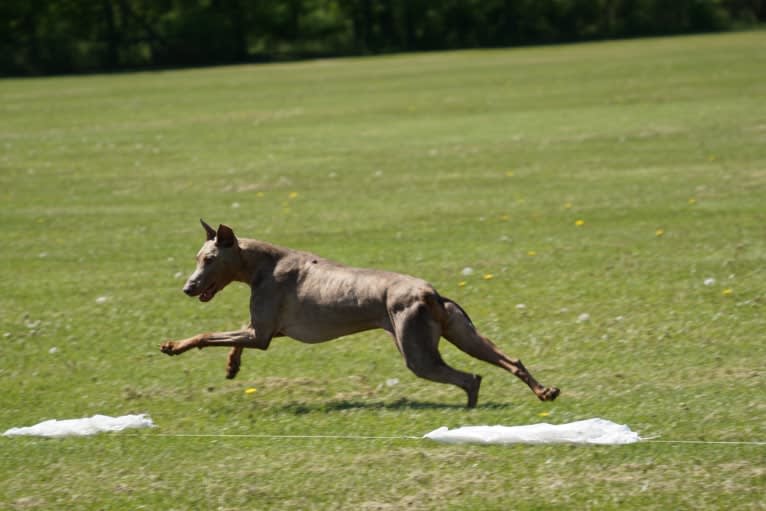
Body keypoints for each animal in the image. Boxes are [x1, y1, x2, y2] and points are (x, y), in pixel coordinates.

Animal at [162, 221, 560, 408]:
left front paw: (173, 346)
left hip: (417, 352)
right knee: (511, 360)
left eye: (209, 260)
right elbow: (235, 339)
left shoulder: (262, 334)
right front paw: (232, 366)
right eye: (197, 258)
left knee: (470, 378)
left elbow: (206, 336)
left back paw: (470, 412)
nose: (187, 288)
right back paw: (544, 391)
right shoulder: (265, 329)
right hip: (462, 332)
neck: (260, 263)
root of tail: (429, 293)